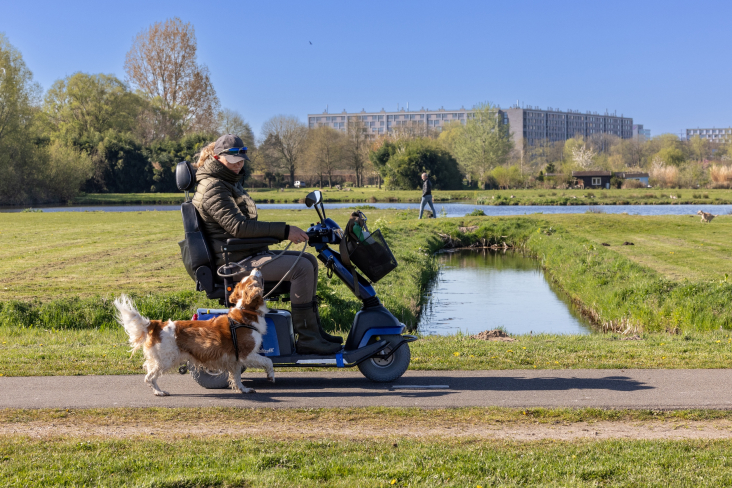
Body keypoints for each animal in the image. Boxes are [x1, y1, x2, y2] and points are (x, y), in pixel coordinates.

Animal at [113, 268, 274, 394]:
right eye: (254, 278)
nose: (256, 268)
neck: (246, 312)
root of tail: (156, 324)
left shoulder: (235, 360)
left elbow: (237, 378)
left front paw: (243, 389)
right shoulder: (246, 355)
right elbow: (268, 361)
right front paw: (270, 375)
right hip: (166, 360)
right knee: (149, 377)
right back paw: (159, 392)